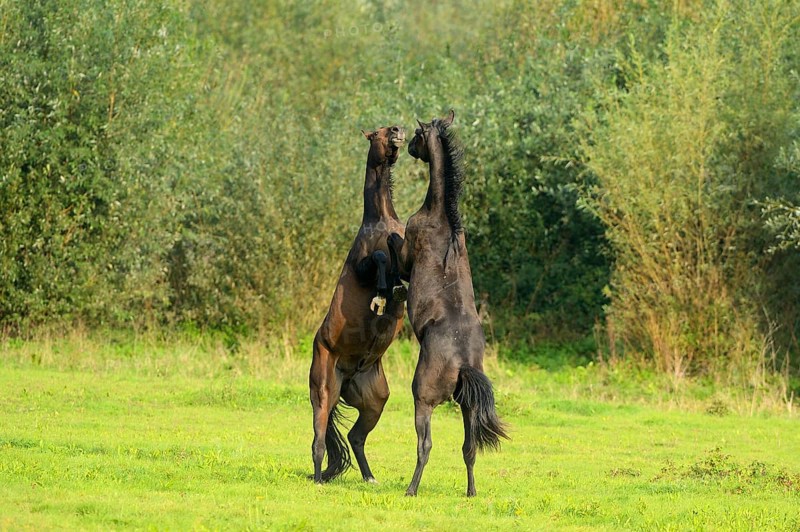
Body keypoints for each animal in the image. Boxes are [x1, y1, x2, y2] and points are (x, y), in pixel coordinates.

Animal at [309, 125, 408, 484]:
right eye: (378, 132)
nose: (398, 131)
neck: (380, 220)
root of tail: (349, 373)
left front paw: (397, 291)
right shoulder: (362, 265)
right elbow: (379, 257)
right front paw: (381, 296)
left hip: (375, 400)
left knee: (355, 437)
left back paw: (369, 477)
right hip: (324, 392)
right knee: (318, 439)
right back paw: (319, 479)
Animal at [388, 110, 508, 497]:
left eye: (416, 135)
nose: (411, 149)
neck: (442, 218)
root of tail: (463, 364)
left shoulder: (407, 254)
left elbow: (395, 244)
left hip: (422, 399)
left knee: (425, 445)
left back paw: (411, 489)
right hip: (467, 407)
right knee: (469, 448)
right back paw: (471, 492)